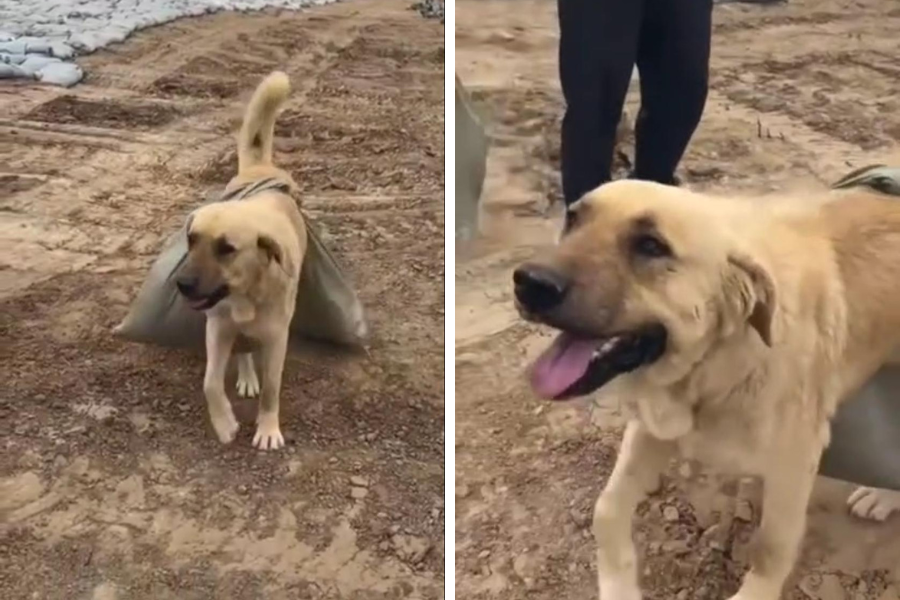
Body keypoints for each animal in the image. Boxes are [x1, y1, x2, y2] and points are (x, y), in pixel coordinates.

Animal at [174, 71, 308, 450]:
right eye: (192, 239)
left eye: (226, 248)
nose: (182, 284)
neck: (248, 293)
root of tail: (259, 168)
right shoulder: (218, 328)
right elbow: (209, 382)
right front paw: (225, 424)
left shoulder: (277, 338)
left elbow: (273, 390)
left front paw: (268, 430)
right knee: (244, 351)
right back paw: (247, 377)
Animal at [516, 180, 900, 600]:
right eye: (573, 219)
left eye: (651, 245)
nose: (529, 282)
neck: (713, 369)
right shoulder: (653, 426)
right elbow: (607, 508)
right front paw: (619, 584)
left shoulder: (795, 463)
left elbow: (772, 547)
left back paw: (882, 496)